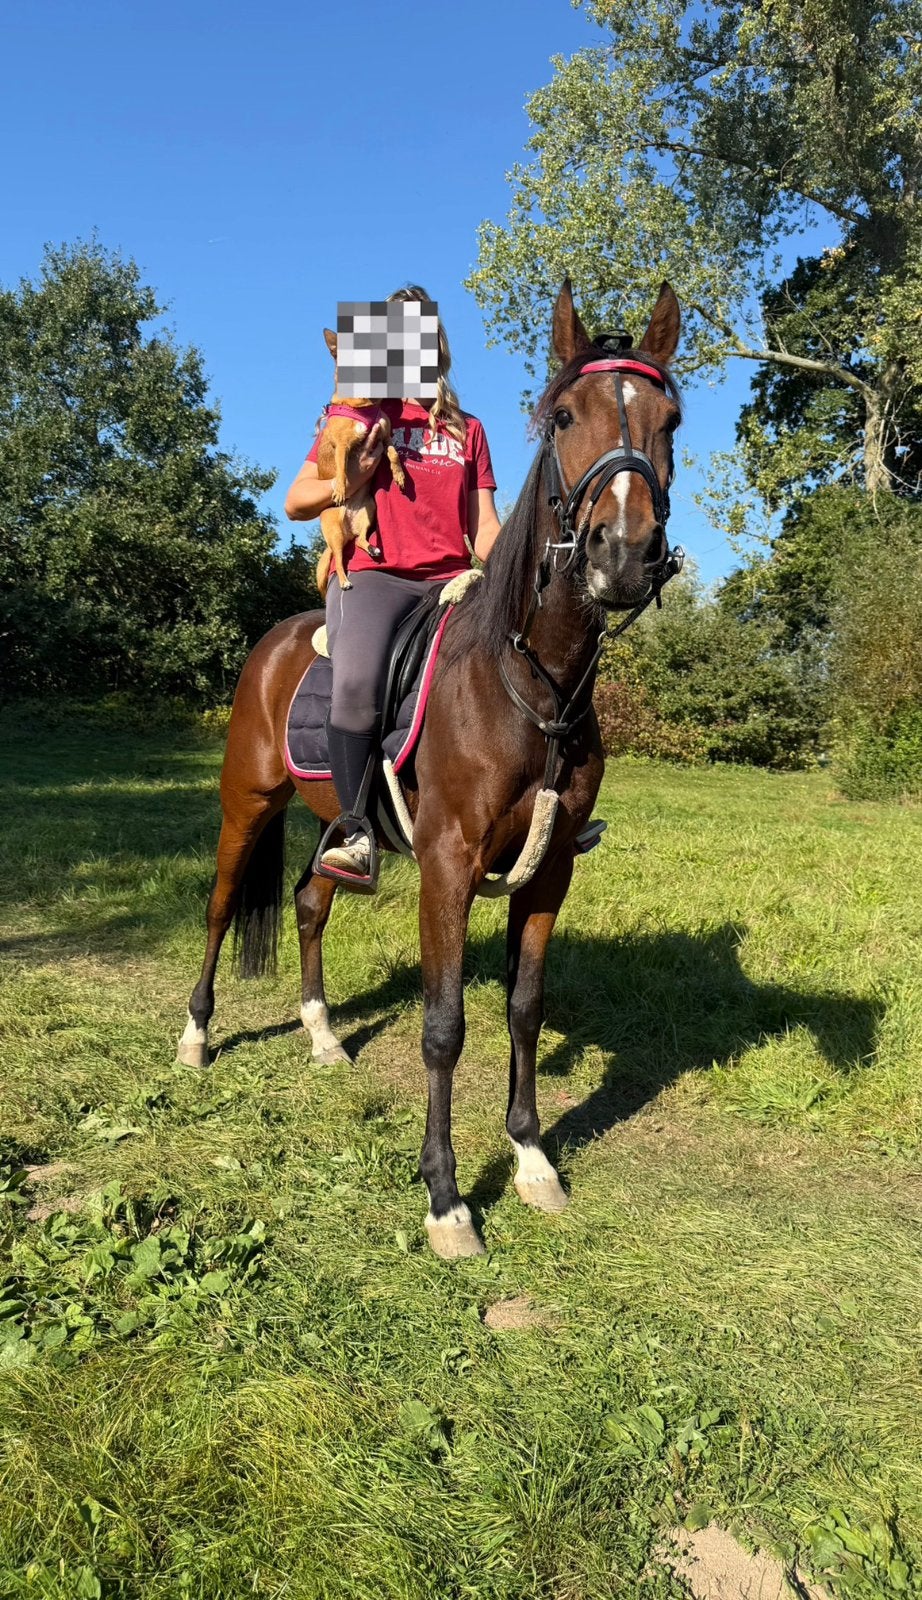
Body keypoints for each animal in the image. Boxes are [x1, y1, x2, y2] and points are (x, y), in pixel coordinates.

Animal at [177, 278, 683, 1259]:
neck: (530, 682)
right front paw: (447, 1198)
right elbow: (445, 1027)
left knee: (309, 900)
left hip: (334, 826)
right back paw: (194, 1036)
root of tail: (277, 638)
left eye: (671, 420)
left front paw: (531, 1158)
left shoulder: (549, 872)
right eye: (563, 416)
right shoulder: (448, 864)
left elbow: (523, 1007)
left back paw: (323, 1036)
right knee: (220, 909)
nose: (622, 553)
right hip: (245, 803)